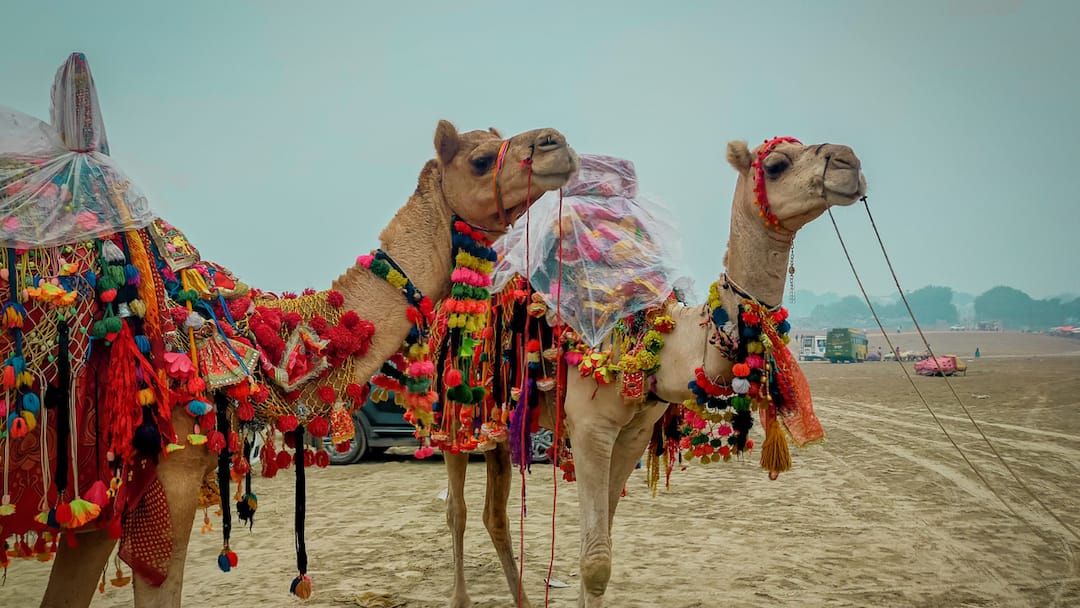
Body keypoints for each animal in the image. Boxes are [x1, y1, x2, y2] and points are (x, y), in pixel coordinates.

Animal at [441, 137, 867, 607]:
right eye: (775, 164)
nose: (848, 162)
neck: (662, 341)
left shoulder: (635, 432)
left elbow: (599, 548)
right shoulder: (590, 427)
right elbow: (595, 560)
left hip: (500, 420)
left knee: (494, 513)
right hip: (455, 405)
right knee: (457, 510)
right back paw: (460, 597)